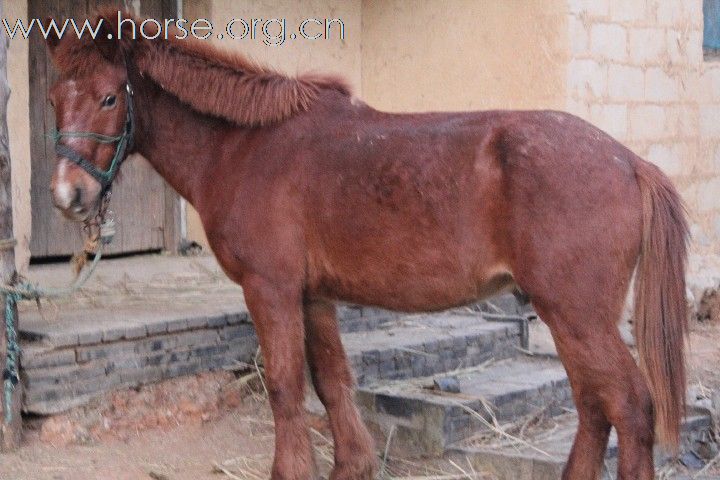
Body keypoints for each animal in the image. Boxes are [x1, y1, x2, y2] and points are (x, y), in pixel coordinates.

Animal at [42, 10, 688, 480]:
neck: (245, 146)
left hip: (577, 314)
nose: (67, 195)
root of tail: (630, 163)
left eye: (108, 97)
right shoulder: (313, 296)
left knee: (630, 406)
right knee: (594, 404)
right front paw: (351, 464)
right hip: (569, 317)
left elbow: (285, 385)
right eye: (53, 98)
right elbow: (331, 381)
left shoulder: (270, 289)